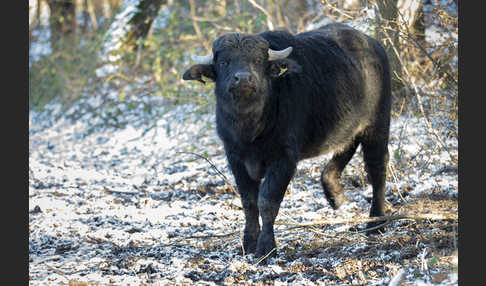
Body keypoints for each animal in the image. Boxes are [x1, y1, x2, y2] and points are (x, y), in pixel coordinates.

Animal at [182, 22, 392, 260]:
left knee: (377, 168)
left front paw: (266, 247)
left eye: (258, 60)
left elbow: (267, 201)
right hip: (348, 123)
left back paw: (376, 223)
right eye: (224, 61)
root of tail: (372, 43)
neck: (250, 128)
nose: (243, 78)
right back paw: (335, 194)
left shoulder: (284, 158)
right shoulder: (234, 157)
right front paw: (248, 243)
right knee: (345, 148)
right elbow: (248, 202)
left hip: (378, 123)